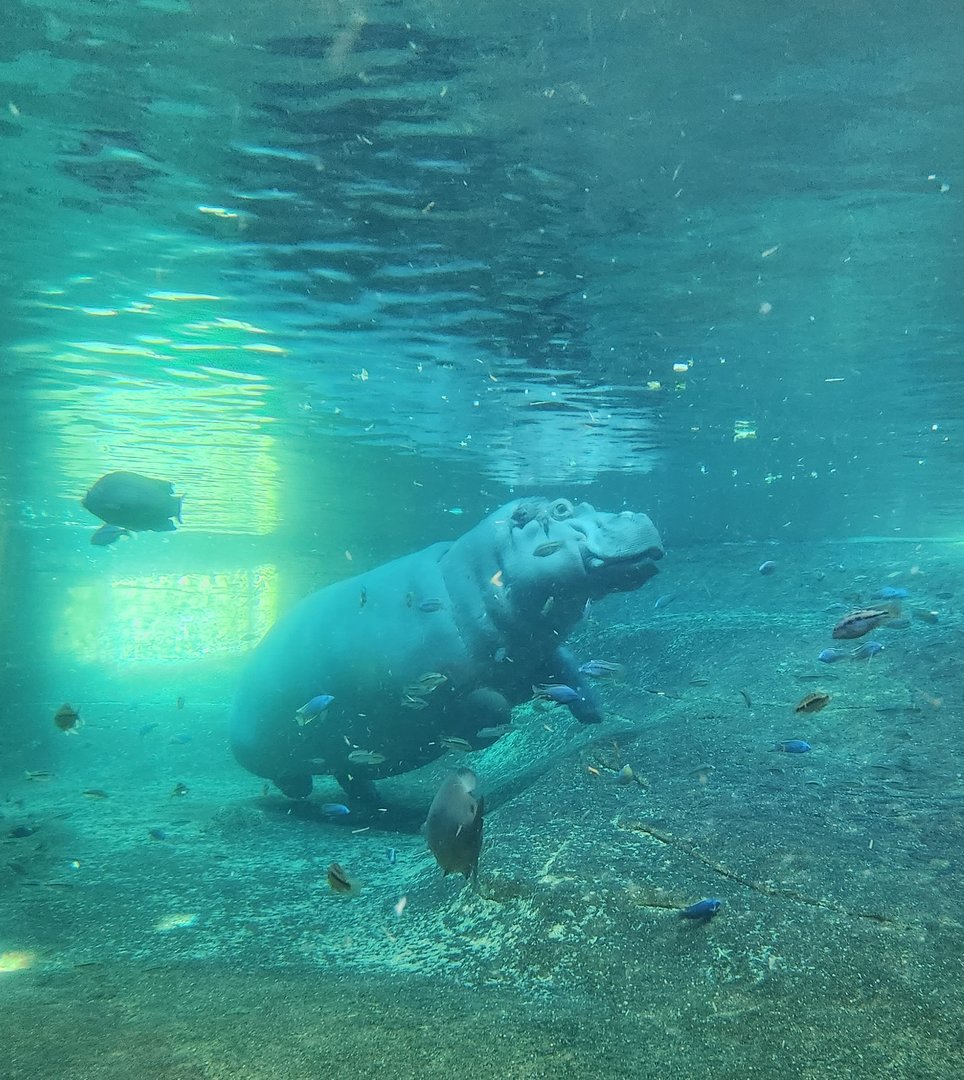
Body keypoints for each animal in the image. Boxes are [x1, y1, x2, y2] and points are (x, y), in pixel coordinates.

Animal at [230, 497, 663, 799]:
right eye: (561, 508)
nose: (637, 515)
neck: (474, 575)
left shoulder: (537, 652)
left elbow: (572, 672)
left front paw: (594, 714)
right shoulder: (437, 684)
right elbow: (493, 706)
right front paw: (486, 735)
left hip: (342, 755)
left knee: (346, 774)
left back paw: (367, 797)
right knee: (292, 776)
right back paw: (300, 791)